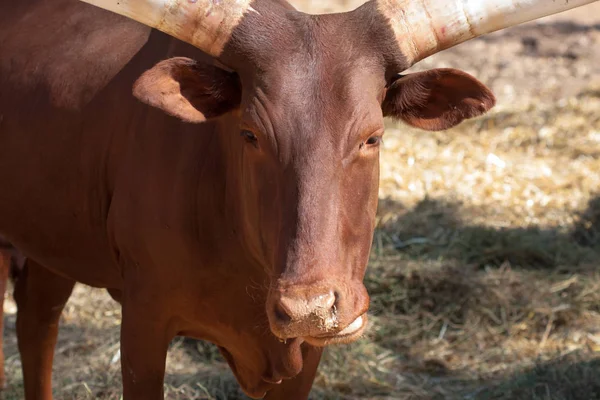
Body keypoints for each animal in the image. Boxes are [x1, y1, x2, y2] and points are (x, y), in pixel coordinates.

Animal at [0, 0, 596, 398]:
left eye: (372, 136)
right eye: (250, 134)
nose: (311, 307)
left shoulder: (309, 353)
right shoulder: (144, 322)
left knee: (37, 321)